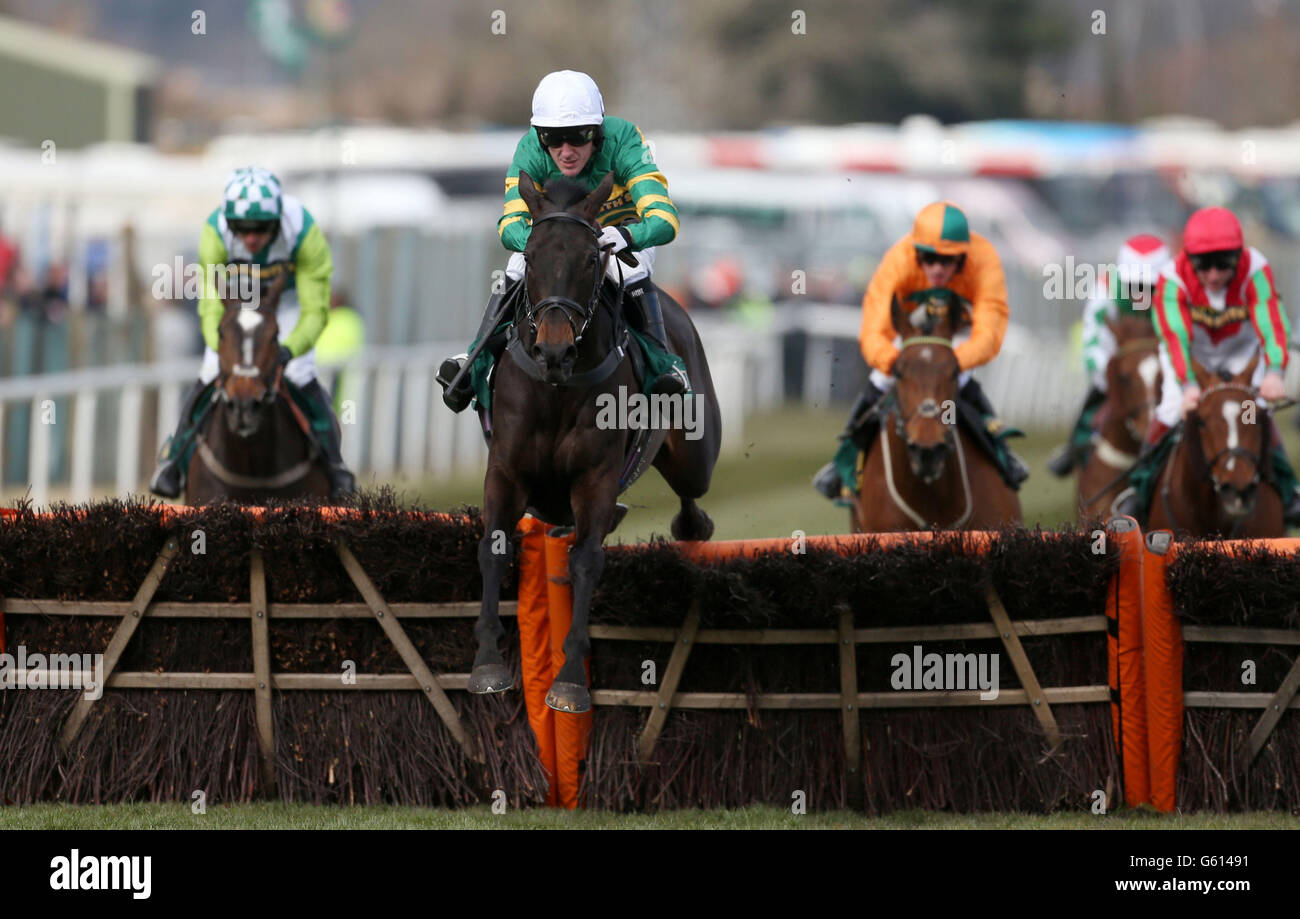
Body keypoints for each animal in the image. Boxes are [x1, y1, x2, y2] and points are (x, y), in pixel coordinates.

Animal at [467, 172, 722, 717]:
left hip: (695, 457)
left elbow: (586, 560)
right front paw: (487, 664)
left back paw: (692, 524)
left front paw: (569, 681)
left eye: (590, 259)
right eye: (531, 255)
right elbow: (494, 547)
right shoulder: (506, 470)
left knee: (690, 493)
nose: (555, 349)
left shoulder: (596, 477)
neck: (557, 387)